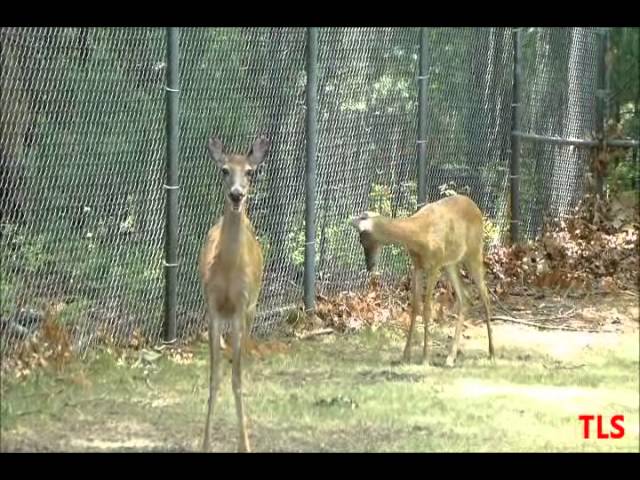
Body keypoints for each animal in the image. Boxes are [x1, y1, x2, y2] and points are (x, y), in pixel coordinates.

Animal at [350, 194, 494, 367]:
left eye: (363, 238)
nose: (369, 266)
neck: (420, 234)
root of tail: (476, 208)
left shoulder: (435, 265)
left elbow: (427, 309)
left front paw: (425, 358)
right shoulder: (417, 266)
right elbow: (414, 307)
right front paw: (405, 356)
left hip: (474, 252)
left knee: (485, 295)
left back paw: (491, 352)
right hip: (451, 263)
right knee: (465, 297)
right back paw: (450, 357)